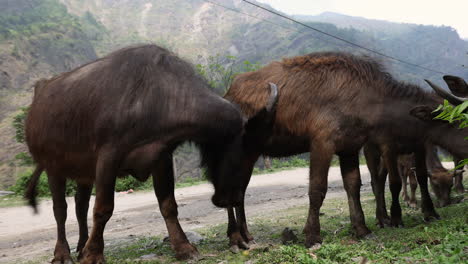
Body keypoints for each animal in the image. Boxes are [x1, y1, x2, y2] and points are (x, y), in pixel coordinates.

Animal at [23, 44, 278, 262]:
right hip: (53, 166)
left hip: (83, 173)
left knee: (80, 204)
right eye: (243, 157)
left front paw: (184, 248)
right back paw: (63, 253)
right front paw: (93, 255)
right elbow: (103, 208)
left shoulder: (161, 157)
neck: (153, 97)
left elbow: (168, 205)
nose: (230, 199)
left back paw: (80, 246)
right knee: (60, 210)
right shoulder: (108, 157)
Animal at [220, 52, 468, 250]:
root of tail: (228, 94)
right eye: (458, 121)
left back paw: (247, 235)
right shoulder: (322, 144)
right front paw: (312, 236)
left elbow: (353, 186)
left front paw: (361, 228)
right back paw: (235, 238)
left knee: (240, 191)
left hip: (251, 154)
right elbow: (317, 189)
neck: (367, 100)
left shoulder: (349, 148)